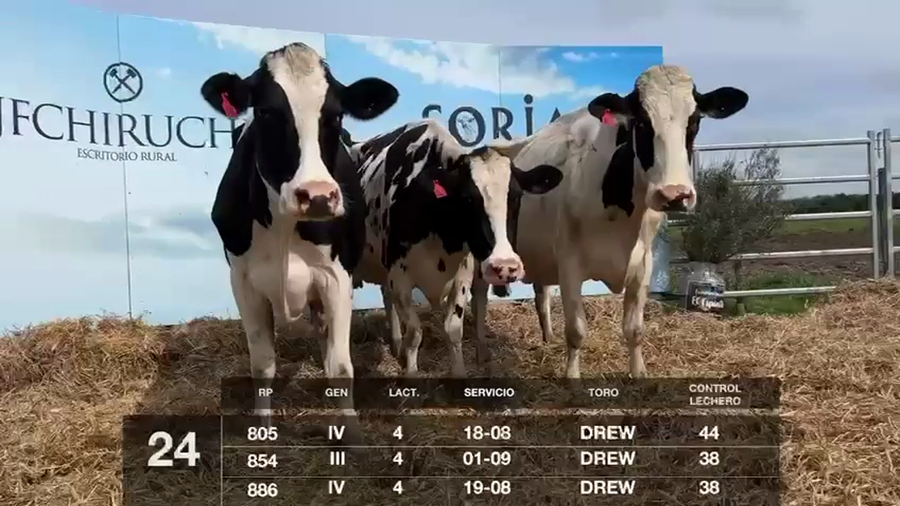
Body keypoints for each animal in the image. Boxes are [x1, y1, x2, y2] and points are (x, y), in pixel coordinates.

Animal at [199, 42, 399, 434]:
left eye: (335, 116)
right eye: (265, 112)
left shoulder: (336, 276)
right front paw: (262, 430)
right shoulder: (243, 282)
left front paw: (351, 433)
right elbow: (262, 365)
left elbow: (341, 366)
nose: (318, 195)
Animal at [348, 119, 563, 377]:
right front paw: (411, 374)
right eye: (467, 199)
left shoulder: (462, 274)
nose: (504, 267)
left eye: (516, 197)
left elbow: (453, 329)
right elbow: (415, 333)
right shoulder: (399, 278)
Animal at [470, 64, 749, 379]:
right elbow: (576, 330)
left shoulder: (643, 264)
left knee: (541, 293)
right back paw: (481, 352)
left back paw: (547, 340)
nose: (675, 194)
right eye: (642, 123)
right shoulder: (570, 264)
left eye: (694, 122)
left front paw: (639, 374)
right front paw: (572, 377)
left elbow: (635, 329)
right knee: (478, 299)